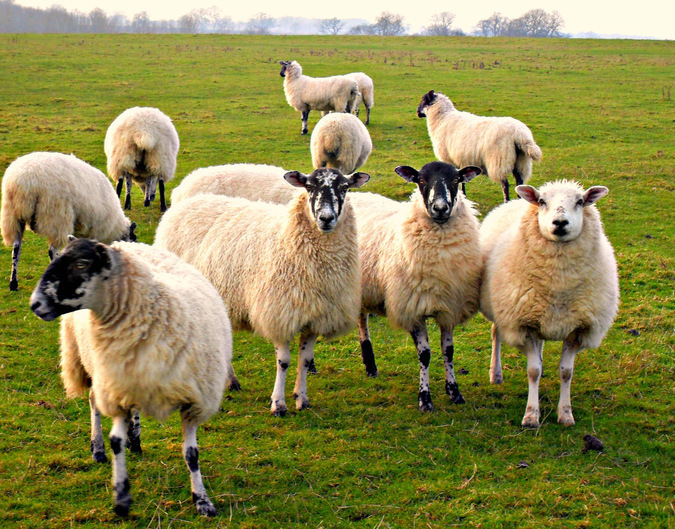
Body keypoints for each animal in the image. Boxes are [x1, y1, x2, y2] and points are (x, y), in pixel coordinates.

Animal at [1, 152, 137, 291]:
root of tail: (24, 181)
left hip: (14, 217)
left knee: (16, 249)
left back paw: (13, 283)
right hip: (56, 215)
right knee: (52, 250)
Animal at [30, 238, 237, 517]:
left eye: (82, 264)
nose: (35, 304)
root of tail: (125, 242)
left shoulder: (194, 401)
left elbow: (192, 454)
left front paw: (202, 501)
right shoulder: (115, 391)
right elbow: (115, 442)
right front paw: (121, 497)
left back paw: (135, 441)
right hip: (97, 369)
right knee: (94, 401)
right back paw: (97, 448)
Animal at [155, 167, 370, 416]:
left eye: (344, 188)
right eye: (309, 187)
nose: (326, 218)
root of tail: (182, 203)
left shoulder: (314, 316)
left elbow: (305, 360)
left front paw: (302, 399)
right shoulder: (278, 312)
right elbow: (284, 361)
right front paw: (278, 404)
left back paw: (231, 381)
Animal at [349, 161, 483, 412]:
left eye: (456, 179)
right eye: (421, 180)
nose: (440, 208)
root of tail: (356, 194)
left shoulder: (448, 306)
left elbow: (448, 352)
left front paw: (454, 392)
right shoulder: (413, 307)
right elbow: (425, 355)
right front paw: (425, 398)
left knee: (362, 317)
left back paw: (370, 365)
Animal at [479, 180, 619, 428]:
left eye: (580, 201)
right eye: (542, 201)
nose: (560, 222)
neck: (559, 285)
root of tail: (515, 201)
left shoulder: (577, 329)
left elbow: (566, 372)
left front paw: (565, 414)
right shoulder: (524, 324)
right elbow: (532, 371)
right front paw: (531, 415)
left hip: (540, 312)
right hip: (503, 310)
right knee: (496, 334)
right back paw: (495, 374)